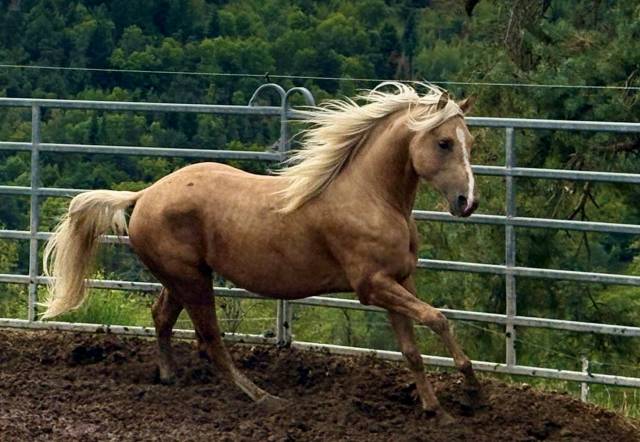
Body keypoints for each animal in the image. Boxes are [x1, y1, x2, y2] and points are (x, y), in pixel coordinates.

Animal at [42, 82, 480, 424]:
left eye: (470, 143)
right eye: (443, 142)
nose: (467, 202)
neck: (370, 197)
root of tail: (145, 195)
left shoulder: (399, 281)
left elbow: (412, 350)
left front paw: (436, 410)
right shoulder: (373, 286)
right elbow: (438, 319)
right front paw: (471, 391)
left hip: (182, 278)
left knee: (161, 317)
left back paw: (169, 376)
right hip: (193, 281)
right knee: (211, 340)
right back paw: (264, 398)